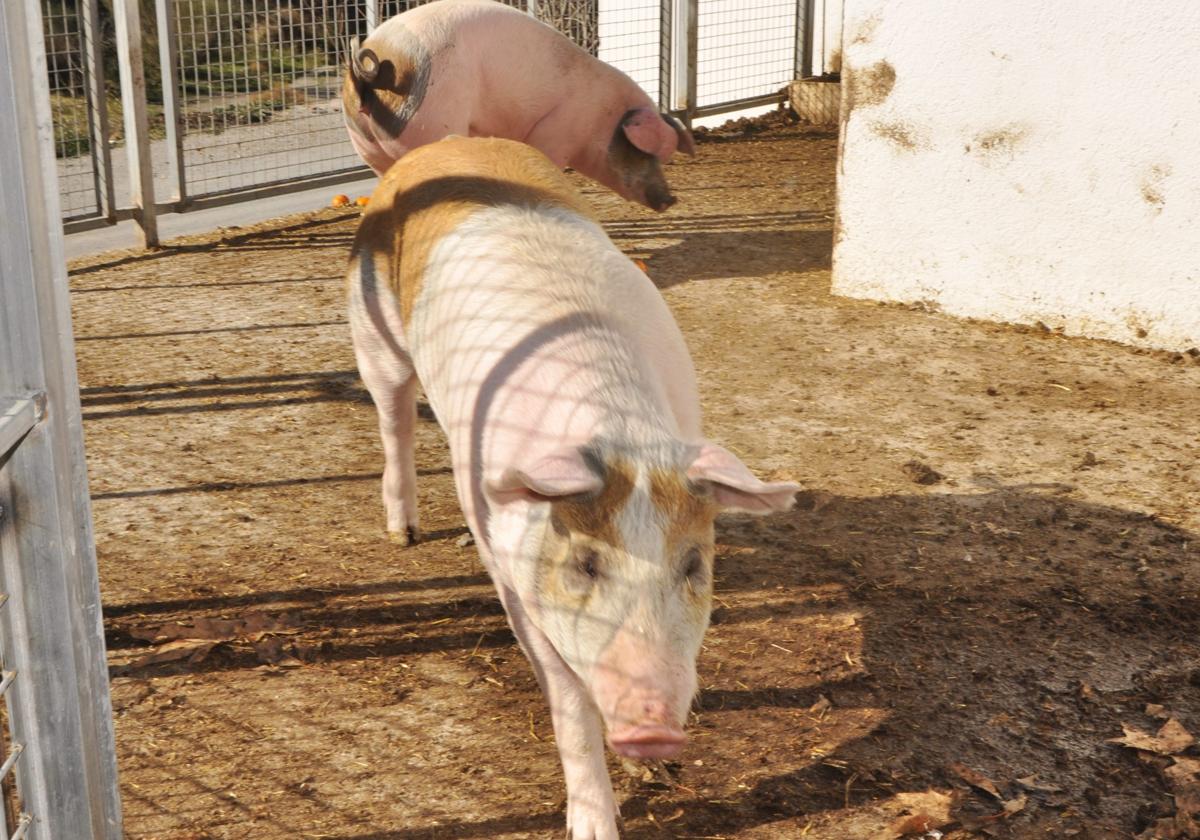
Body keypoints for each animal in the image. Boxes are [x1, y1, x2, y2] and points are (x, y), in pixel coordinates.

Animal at [338, 0, 696, 211]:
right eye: (642, 151)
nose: (671, 199)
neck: (601, 118)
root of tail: (366, 66)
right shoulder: (559, 131)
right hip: (430, 121)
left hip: (366, 146)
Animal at [348, 138, 796, 840]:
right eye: (585, 563)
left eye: (693, 564)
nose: (653, 729)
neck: (622, 430)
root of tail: (447, 144)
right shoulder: (509, 568)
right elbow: (567, 704)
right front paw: (594, 826)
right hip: (373, 331)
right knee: (392, 415)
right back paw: (404, 536)